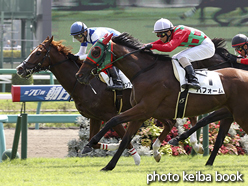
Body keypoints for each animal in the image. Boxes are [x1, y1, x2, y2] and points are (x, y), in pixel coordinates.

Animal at [15, 36, 141, 164]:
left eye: (38, 52)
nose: (19, 69)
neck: (85, 85)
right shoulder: (95, 116)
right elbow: (92, 141)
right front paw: (113, 145)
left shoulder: (110, 114)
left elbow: (125, 138)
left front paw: (136, 158)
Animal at [77, 32, 248, 171]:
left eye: (96, 51)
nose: (79, 75)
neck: (144, 72)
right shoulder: (140, 113)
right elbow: (125, 138)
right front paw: (109, 165)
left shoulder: (143, 109)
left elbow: (112, 120)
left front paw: (90, 144)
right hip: (231, 112)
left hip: (239, 114)